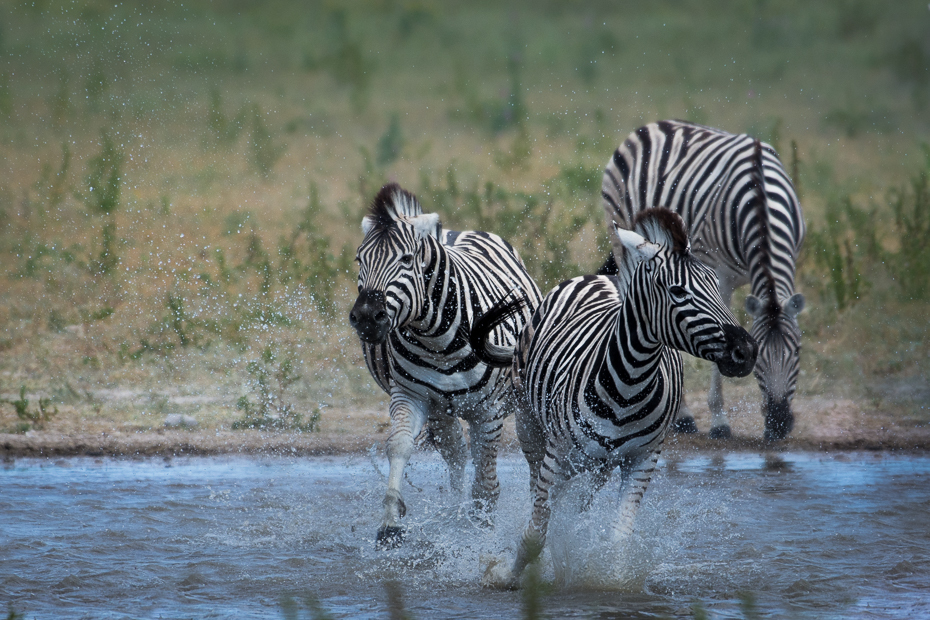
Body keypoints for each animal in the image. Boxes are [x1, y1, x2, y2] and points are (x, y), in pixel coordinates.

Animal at [348, 183, 540, 548]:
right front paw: (390, 523)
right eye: (359, 260)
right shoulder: (411, 396)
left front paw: (482, 534)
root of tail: (453, 231)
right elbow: (399, 445)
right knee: (457, 456)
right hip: (442, 410)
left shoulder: (488, 411)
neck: (438, 342)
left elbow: (487, 482)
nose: (366, 318)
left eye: (406, 260)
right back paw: (454, 511)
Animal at [472, 207, 752, 588]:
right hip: (531, 427)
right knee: (539, 491)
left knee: (575, 504)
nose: (747, 351)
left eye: (713, 284)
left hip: (598, 464)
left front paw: (612, 583)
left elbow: (619, 538)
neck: (629, 385)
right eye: (678, 291)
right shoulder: (557, 453)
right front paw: (505, 575)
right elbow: (534, 534)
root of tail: (599, 277)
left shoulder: (642, 460)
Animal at [600, 120, 804, 440]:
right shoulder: (717, 271)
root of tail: (653, 125)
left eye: (797, 351)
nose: (778, 423)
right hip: (622, 236)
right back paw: (682, 416)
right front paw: (719, 420)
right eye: (760, 359)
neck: (760, 199)